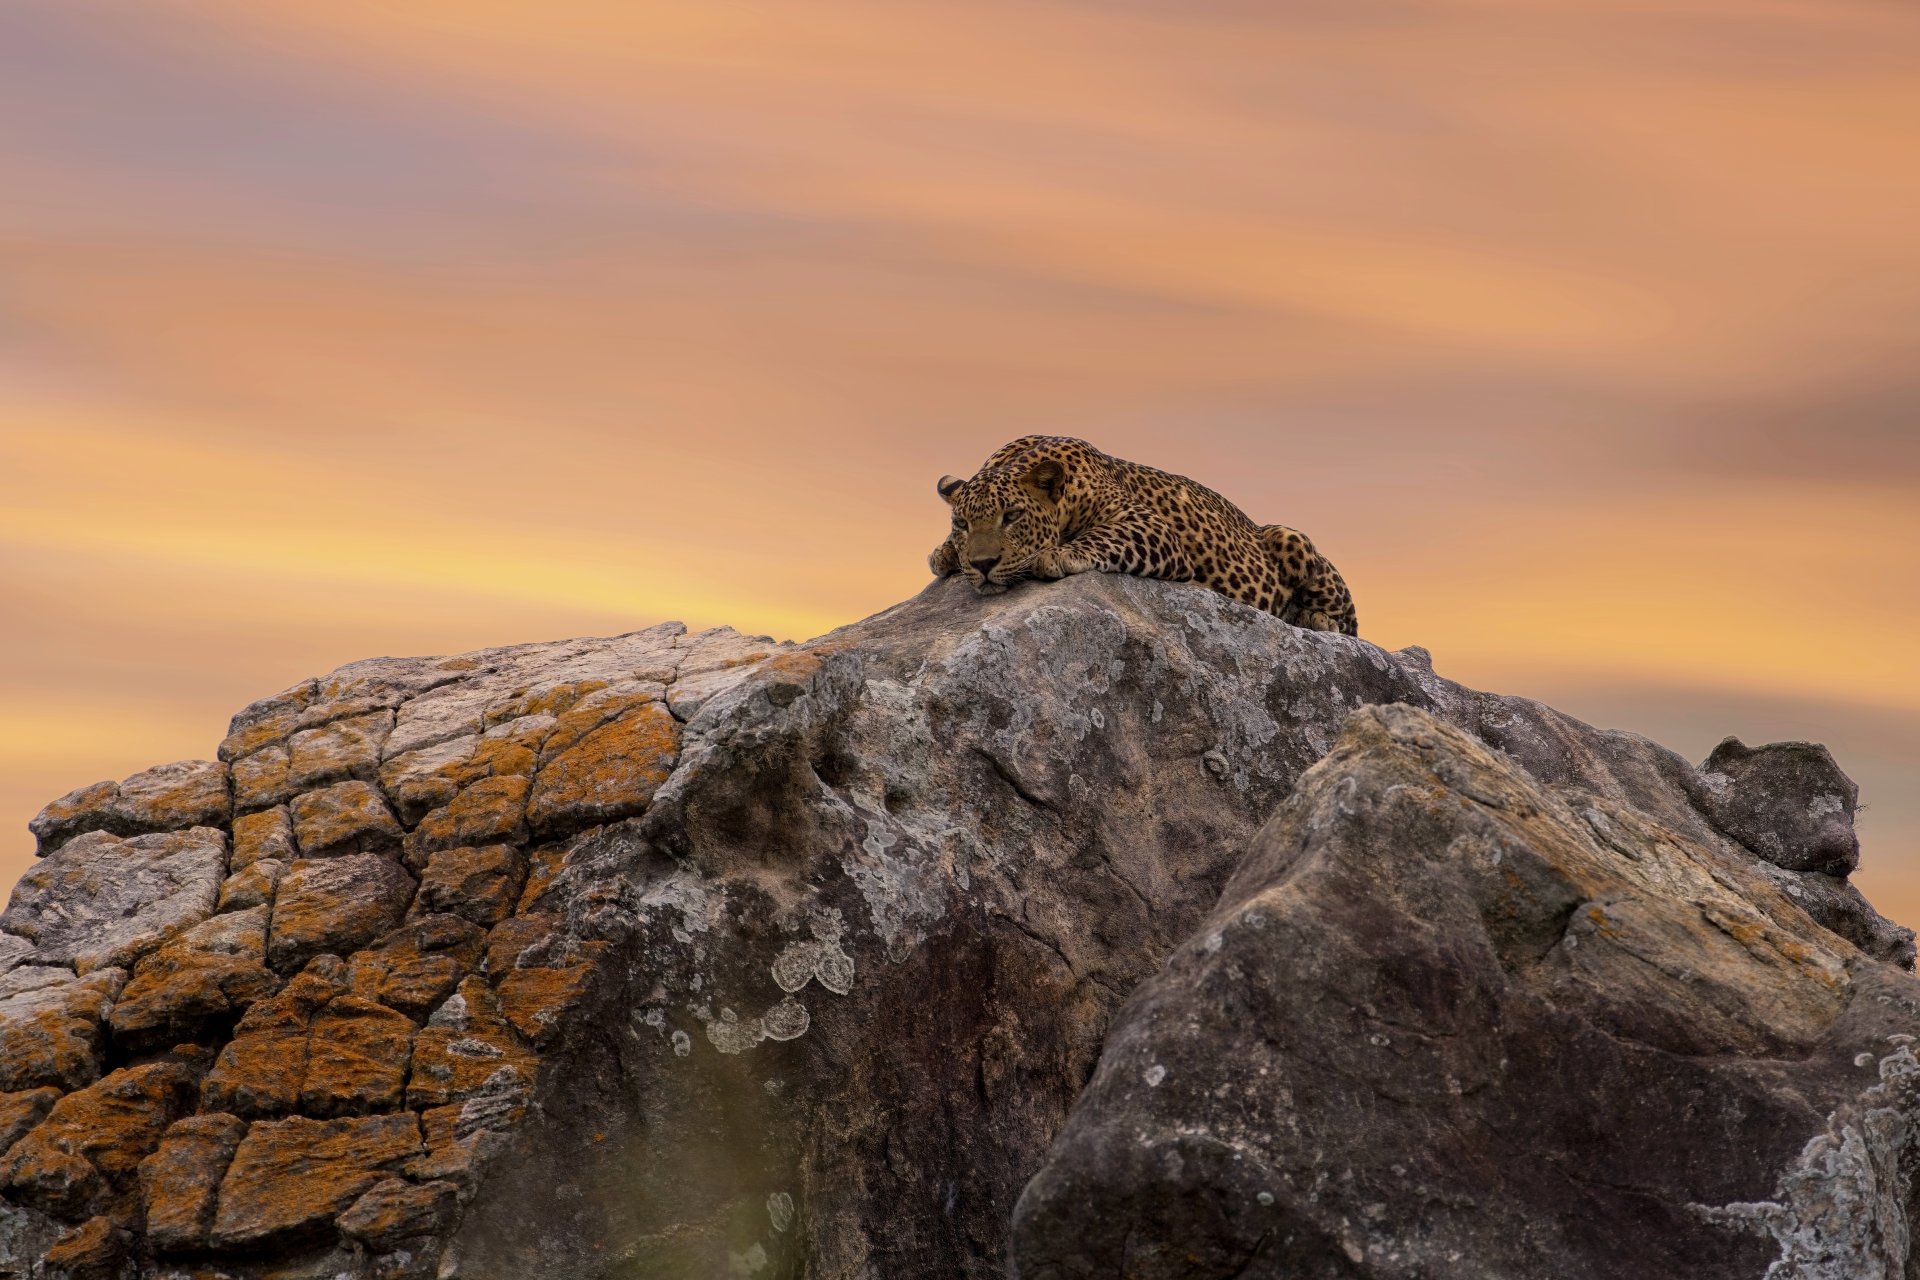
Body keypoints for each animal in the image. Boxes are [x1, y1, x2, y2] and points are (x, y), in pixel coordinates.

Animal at [929, 435, 1358, 635]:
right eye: (962, 524)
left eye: (1013, 516)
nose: (984, 564)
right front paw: (945, 554)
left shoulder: (1148, 524)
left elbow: (1104, 535)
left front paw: (1057, 555)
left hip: (1292, 538)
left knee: (1346, 625)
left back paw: (1315, 619)